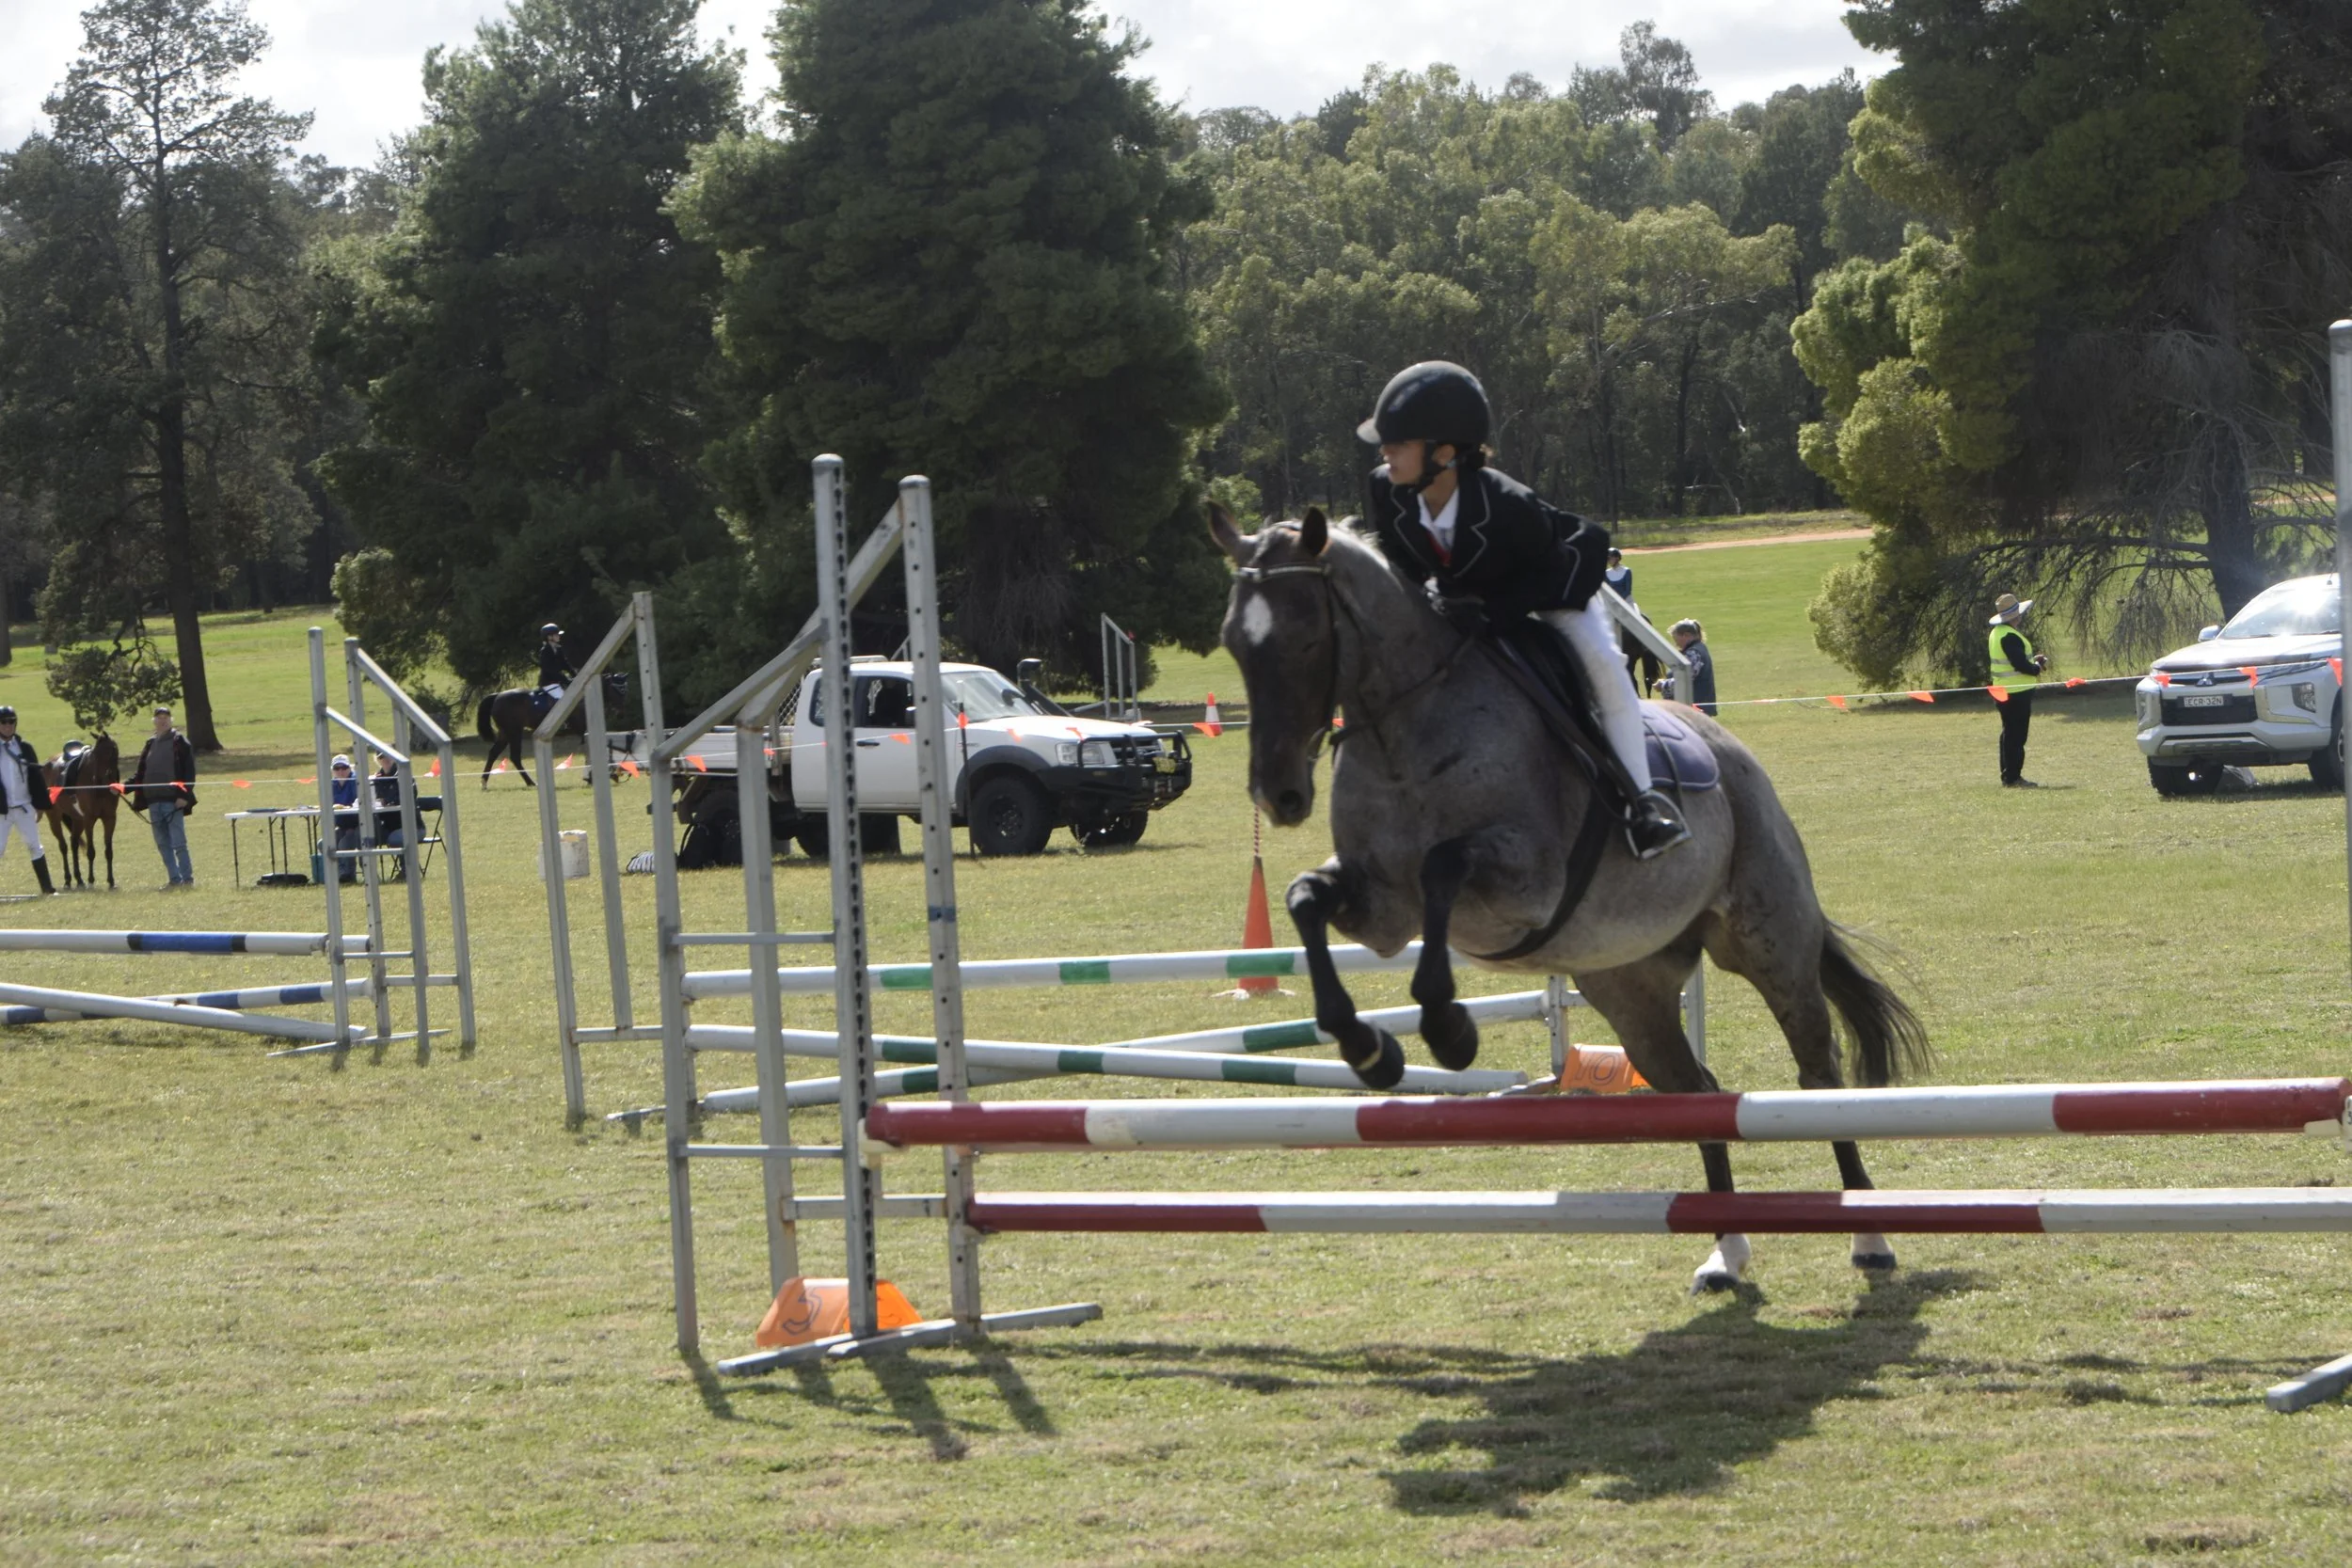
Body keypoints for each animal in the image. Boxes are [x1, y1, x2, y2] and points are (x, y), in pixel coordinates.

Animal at [42, 733, 120, 889]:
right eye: (95, 755)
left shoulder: (110, 819)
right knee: (63, 846)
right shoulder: (89, 820)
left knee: (74, 843)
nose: (99, 779)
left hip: (78, 820)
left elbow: (108, 851)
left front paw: (111, 881)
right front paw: (91, 880)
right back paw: (68, 879)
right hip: (55, 818)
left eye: (111, 752)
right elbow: (91, 852)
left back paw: (78, 879)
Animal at [475, 671, 629, 787]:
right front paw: (600, 776)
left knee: (493, 753)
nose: (621, 713)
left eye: (624, 689)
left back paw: (484, 782)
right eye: (616, 689)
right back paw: (530, 782)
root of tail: (497, 695)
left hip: (505, 733)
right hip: (514, 732)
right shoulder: (582, 730)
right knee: (514, 757)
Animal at [1209, 504, 1930, 1294]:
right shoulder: (1382, 912)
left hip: (1769, 944)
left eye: (1308, 635)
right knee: (1695, 1087)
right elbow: (1306, 897)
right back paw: (1727, 1250)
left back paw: (1868, 1235)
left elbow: (1442, 866)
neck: (1406, 724)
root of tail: (1731, 745)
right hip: (1632, 988)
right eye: (1232, 643)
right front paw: (1370, 1049)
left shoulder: (1526, 881)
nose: (1278, 795)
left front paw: (1449, 1029)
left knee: (1817, 1071)